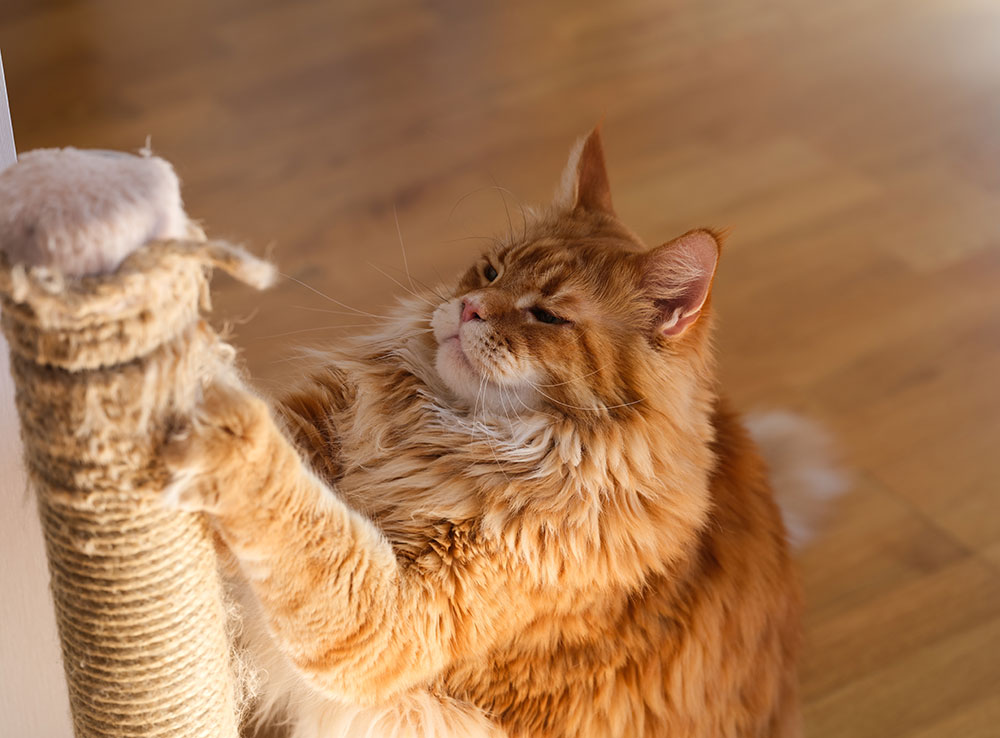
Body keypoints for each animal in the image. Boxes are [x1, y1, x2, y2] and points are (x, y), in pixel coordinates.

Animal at [164, 128, 804, 736]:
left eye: (547, 316)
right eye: (491, 270)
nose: (470, 306)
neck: (441, 432)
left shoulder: (390, 619)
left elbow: (294, 511)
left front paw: (218, 419)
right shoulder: (320, 423)